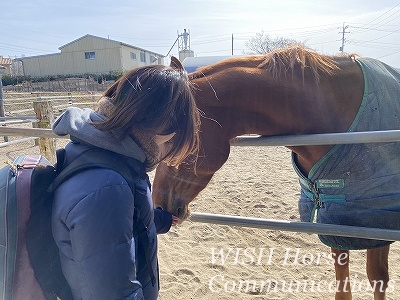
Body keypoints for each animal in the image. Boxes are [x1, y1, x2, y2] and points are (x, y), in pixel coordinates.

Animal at [152, 48, 400, 298]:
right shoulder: (336, 218)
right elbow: (342, 283)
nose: (158, 204)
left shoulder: (375, 219)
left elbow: (377, 276)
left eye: (174, 140)